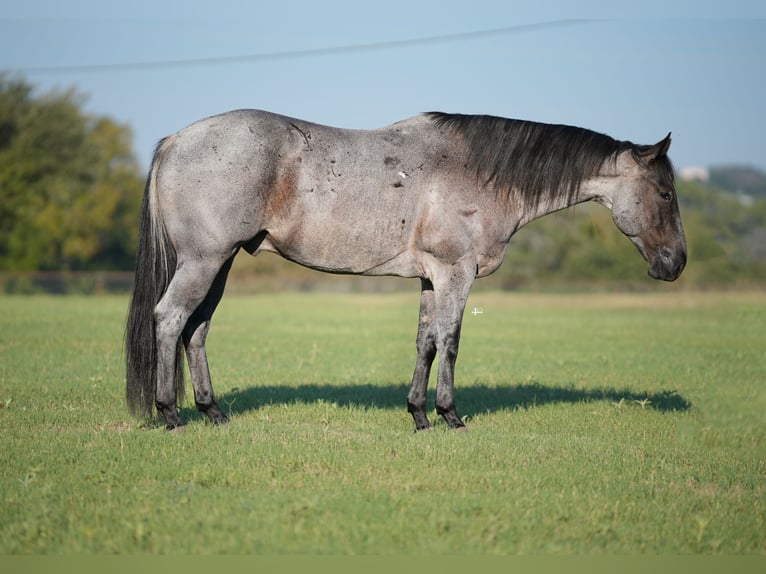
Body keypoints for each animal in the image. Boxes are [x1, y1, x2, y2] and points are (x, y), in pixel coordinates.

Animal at [126, 109, 688, 432]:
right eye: (665, 193)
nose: (676, 263)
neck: (477, 171)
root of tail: (175, 140)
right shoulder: (456, 273)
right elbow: (452, 341)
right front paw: (449, 414)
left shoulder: (430, 277)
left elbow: (426, 342)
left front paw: (418, 414)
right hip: (203, 262)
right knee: (170, 319)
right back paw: (170, 413)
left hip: (219, 265)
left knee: (196, 330)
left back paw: (212, 412)